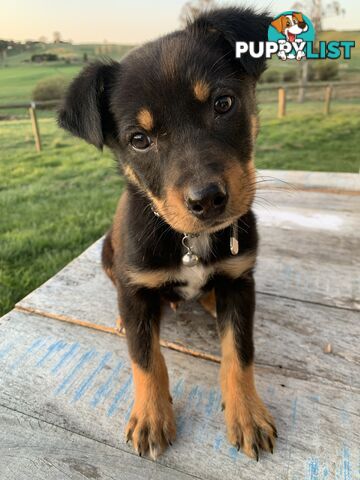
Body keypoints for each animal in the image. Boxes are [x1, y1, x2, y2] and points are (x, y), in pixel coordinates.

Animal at [59, 6, 276, 462]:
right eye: (139, 140)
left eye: (223, 103)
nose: (207, 200)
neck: (187, 240)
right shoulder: (136, 285)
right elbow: (146, 358)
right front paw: (150, 417)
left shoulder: (240, 279)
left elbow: (239, 352)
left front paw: (247, 414)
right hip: (109, 253)